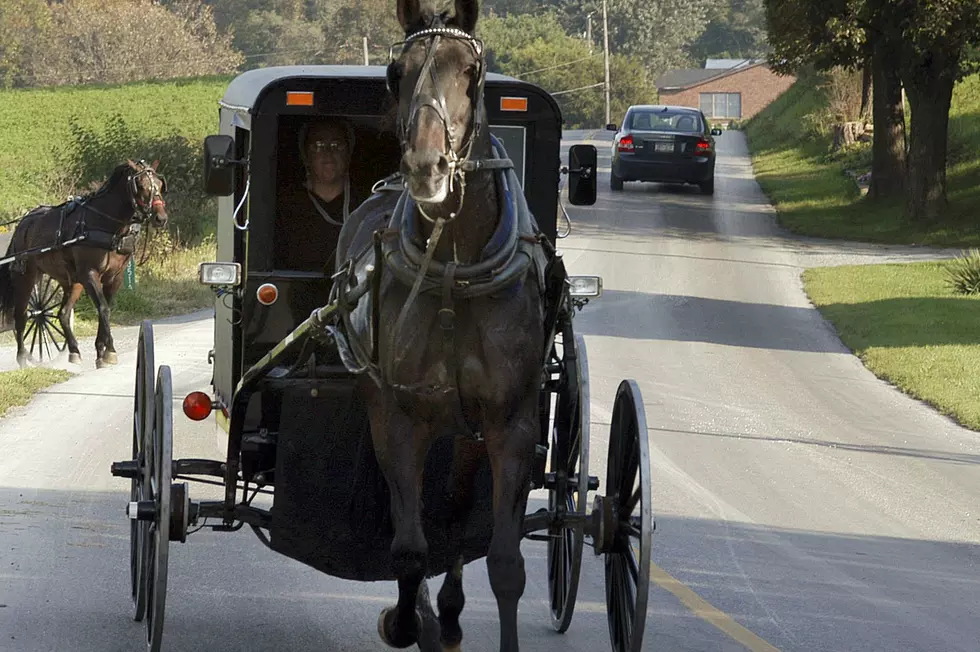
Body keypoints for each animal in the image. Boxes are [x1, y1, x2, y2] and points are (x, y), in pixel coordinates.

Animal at [0, 159, 167, 366]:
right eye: (141, 185)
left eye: (159, 184)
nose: (160, 218)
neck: (106, 224)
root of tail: (23, 223)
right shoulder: (90, 274)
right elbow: (103, 308)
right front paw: (110, 350)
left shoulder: (115, 277)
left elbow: (106, 308)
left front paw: (101, 350)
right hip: (26, 277)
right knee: (21, 316)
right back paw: (22, 357)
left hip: (71, 281)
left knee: (63, 314)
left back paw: (73, 350)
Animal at [336, 2, 552, 648]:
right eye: (394, 72)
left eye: (472, 71)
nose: (426, 168)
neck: (455, 264)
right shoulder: (402, 415)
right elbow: (409, 548)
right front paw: (407, 620)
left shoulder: (511, 423)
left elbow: (504, 563)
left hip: (468, 434)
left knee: (456, 516)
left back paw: (451, 610)